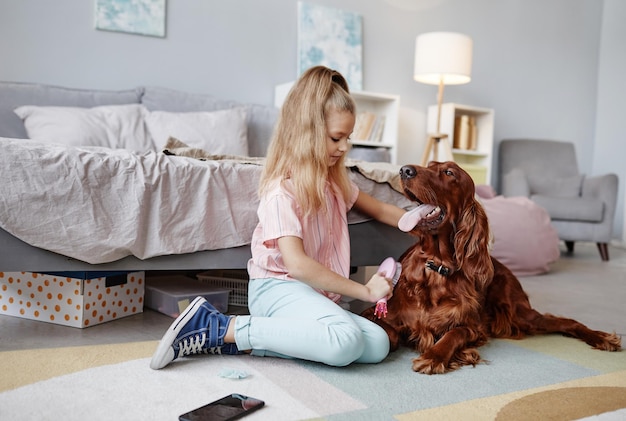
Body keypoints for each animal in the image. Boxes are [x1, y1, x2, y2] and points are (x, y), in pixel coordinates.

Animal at [360, 162, 620, 374]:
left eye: (449, 173)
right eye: (429, 165)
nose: (404, 170)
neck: (436, 268)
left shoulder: (474, 326)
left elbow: (454, 333)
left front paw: (434, 357)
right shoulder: (375, 312)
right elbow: (391, 333)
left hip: (519, 313)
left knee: (566, 321)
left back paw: (602, 338)